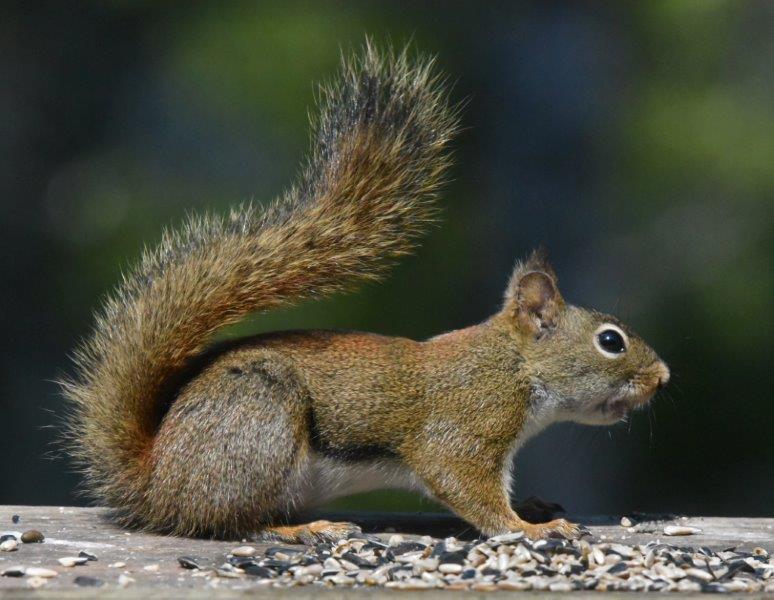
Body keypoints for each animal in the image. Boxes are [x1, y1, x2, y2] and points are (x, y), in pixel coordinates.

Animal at [61, 42, 670, 543]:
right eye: (611, 341)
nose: (662, 377)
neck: (512, 366)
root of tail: (156, 481)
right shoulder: (463, 426)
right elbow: (465, 486)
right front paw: (530, 528)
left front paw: (536, 508)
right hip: (257, 423)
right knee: (226, 520)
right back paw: (300, 531)